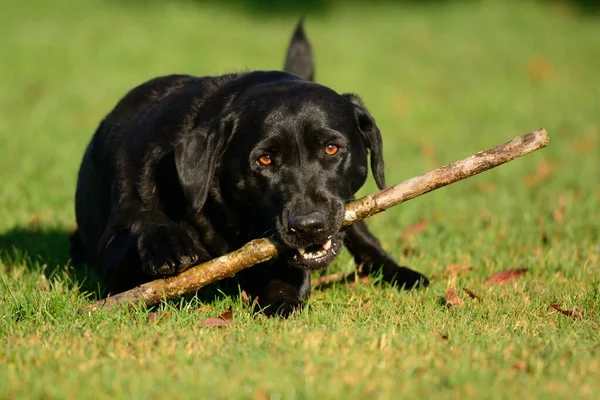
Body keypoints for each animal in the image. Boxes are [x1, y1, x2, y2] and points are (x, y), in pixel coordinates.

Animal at [71, 21, 426, 316]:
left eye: (331, 148)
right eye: (264, 159)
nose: (308, 225)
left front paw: (282, 297)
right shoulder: (111, 247)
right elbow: (136, 234)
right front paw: (166, 243)